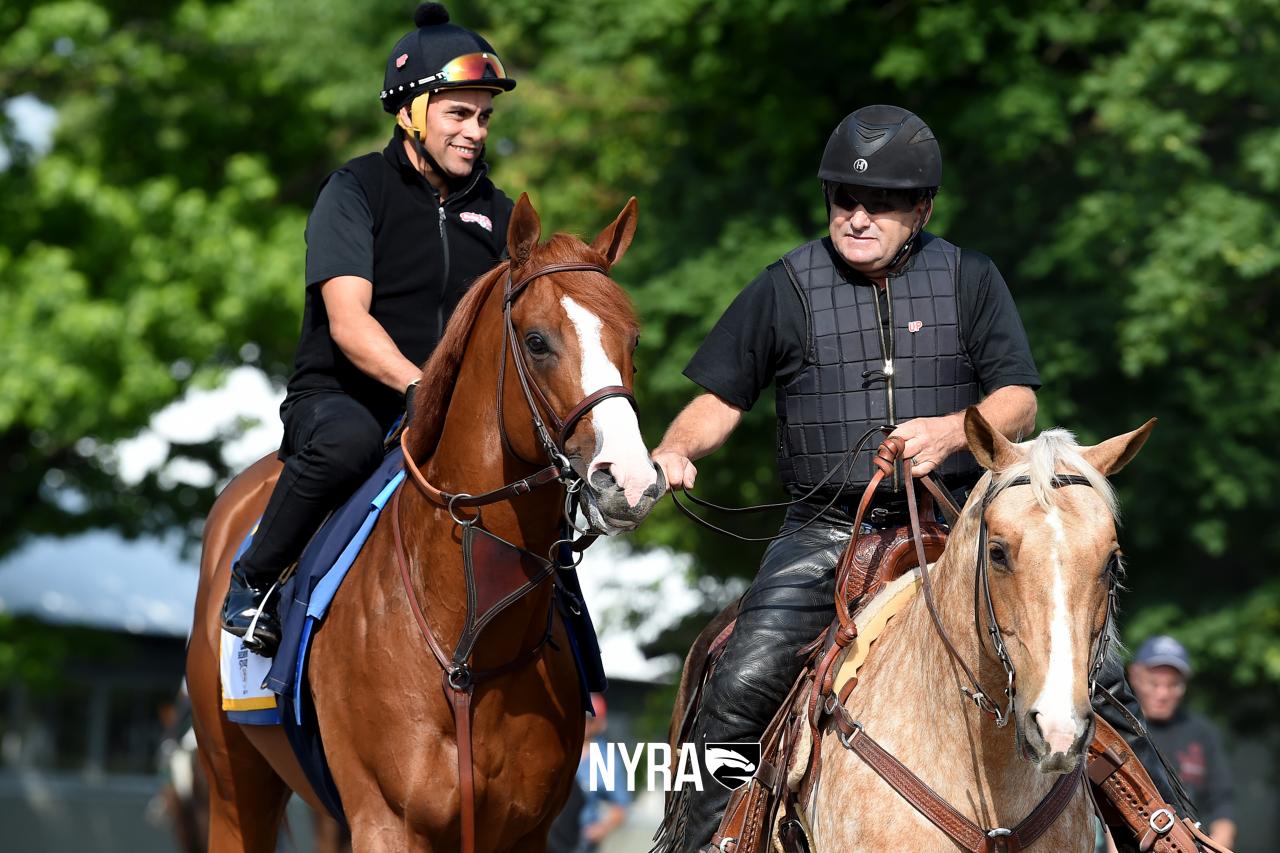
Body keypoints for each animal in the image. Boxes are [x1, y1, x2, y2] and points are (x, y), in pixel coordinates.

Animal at [193, 195, 670, 845]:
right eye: (538, 341)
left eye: (634, 341)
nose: (630, 481)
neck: (469, 641)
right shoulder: (386, 824)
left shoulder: (525, 832)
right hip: (235, 790)